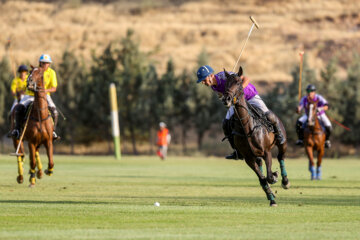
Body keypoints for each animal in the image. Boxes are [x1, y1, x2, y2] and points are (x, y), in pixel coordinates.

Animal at [222, 66, 290, 207]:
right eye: (225, 84)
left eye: (238, 82)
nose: (227, 99)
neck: (246, 126)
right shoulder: (249, 158)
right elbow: (263, 179)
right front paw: (272, 199)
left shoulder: (266, 152)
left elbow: (269, 176)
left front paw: (275, 176)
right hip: (256, 156)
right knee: (262, 170)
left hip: (282, 143)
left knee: (281, 156)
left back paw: (285, 182)